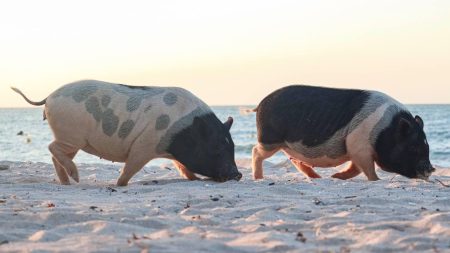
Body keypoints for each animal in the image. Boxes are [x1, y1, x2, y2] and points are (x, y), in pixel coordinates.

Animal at [11, 80, 243, 185]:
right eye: (217, 147)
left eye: (231, 145)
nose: (238, 174)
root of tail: (49, 97)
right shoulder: (146, 144)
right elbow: (131, 166)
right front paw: (119, 184)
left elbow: (182, 167)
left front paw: (193, 179)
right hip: (71, 136)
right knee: (51, 147)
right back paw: (75, 178)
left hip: (72, 139)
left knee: (55, 154)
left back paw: (68, 182)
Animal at [251, 86, 434, 181]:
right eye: (413, 147)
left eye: (427, 147)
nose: (431, 169)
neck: (384, 130)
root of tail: (260, 104)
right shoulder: (357, 144)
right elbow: (367, 170)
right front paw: (376, 181)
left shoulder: (355, 149)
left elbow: (356, 168)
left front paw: (335, 176)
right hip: (270, 140)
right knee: (256, 152)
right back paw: (258, 178)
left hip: (288, 146)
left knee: (295, 160)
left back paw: (317, 177)